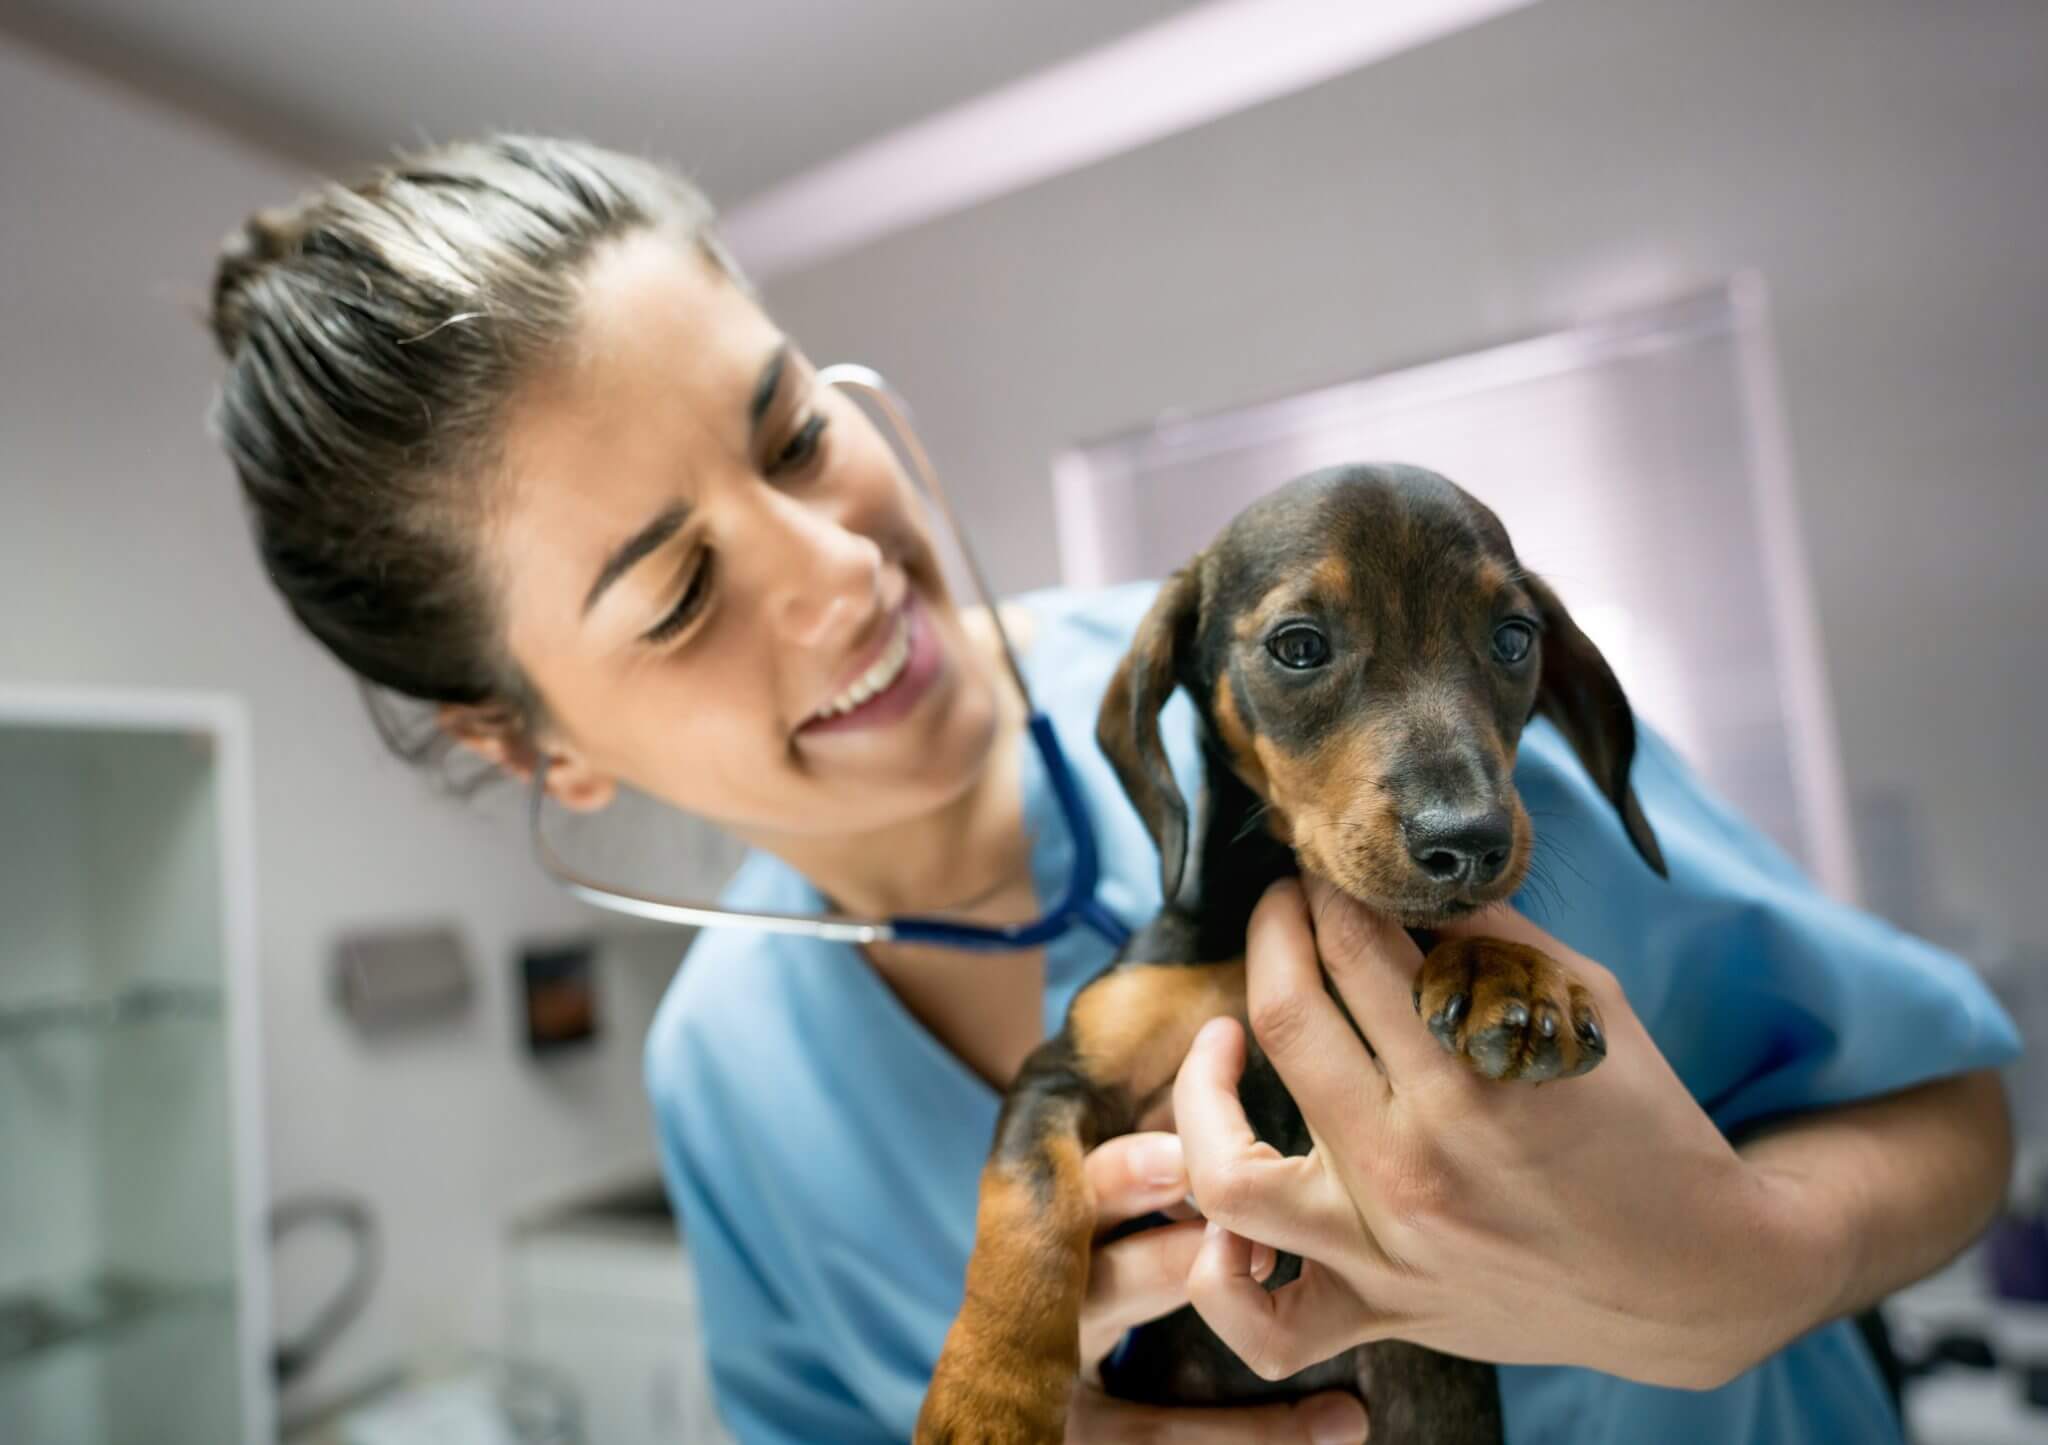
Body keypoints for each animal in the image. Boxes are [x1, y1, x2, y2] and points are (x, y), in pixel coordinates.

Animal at [913, 464, 1662, 1440]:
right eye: (1299, 646)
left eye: (1512, 638)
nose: (1470, 841)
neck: (1278, 888)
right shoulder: (1064, 1075)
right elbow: (1034, 1204)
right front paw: (986, 1398)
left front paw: (1506, 968)